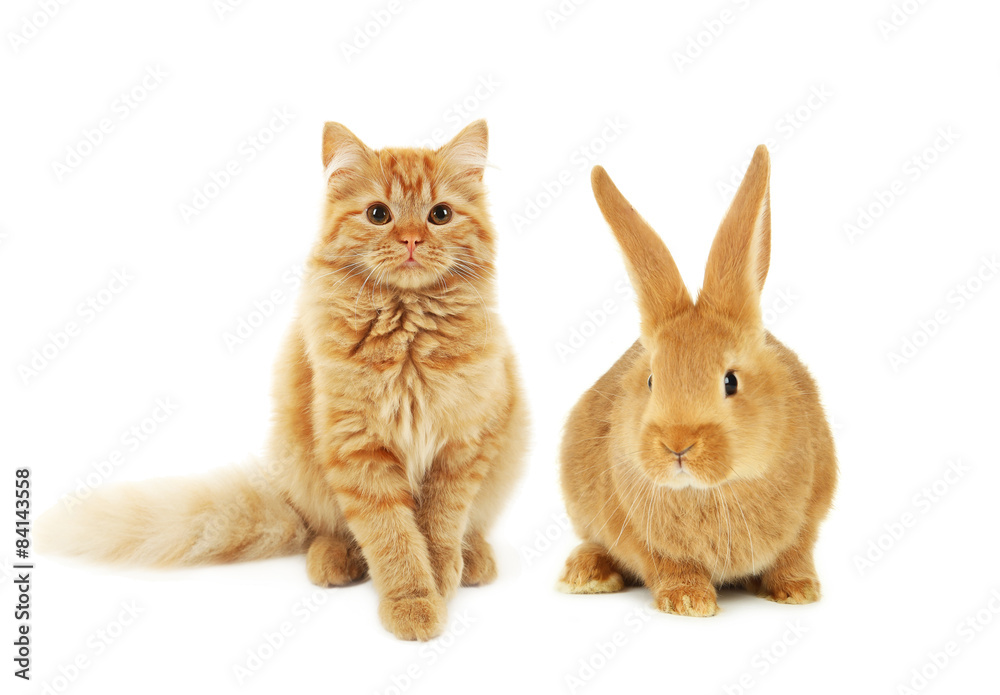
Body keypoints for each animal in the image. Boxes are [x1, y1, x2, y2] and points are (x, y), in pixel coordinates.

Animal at [558, 146, 837, 616]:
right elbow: (667, 564)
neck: (711, 491)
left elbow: (794, 553)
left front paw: (798, 592)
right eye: (652, 380)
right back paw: (584, 576)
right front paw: (689, 601)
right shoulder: (640, 536)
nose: (678, 443)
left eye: (730, 382)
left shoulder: (810, 515)